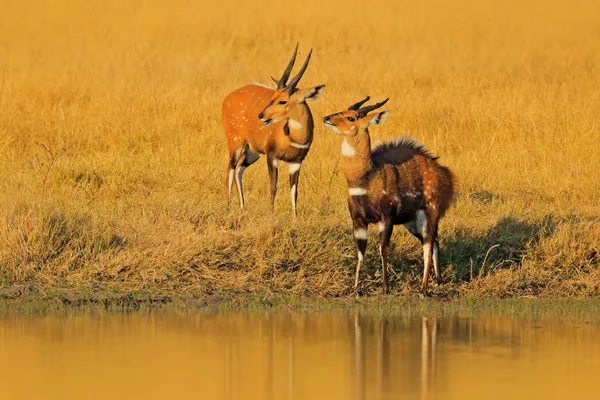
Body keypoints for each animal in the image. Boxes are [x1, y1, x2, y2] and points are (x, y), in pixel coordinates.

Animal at [221, 46, 326, 219]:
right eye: (273, 96)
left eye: (283, 100)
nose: (262, 115)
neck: (293, 138)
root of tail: (226, 99)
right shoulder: (271, 156)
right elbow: (273, 186)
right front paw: (271, 214)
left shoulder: (296, 161)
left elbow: (294, 191)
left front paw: (294, 218)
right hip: (235, 143)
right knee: (230, 170)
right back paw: (228, 209)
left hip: (252, 152)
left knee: (238, 170)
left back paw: (243, 208)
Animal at [324, 98, 454, 296]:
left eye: (350, 117)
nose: (326, 118)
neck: (367, 179)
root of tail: (447, 176)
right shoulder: (358, 220)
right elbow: (360, 252)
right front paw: (355, 288)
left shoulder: (386, 217)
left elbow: (383, 249)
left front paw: (385, 287)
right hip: (412, 221)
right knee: (435, 241)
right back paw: (437, 281)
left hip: (429, 211)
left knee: (428, 245)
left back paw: (423, 289)